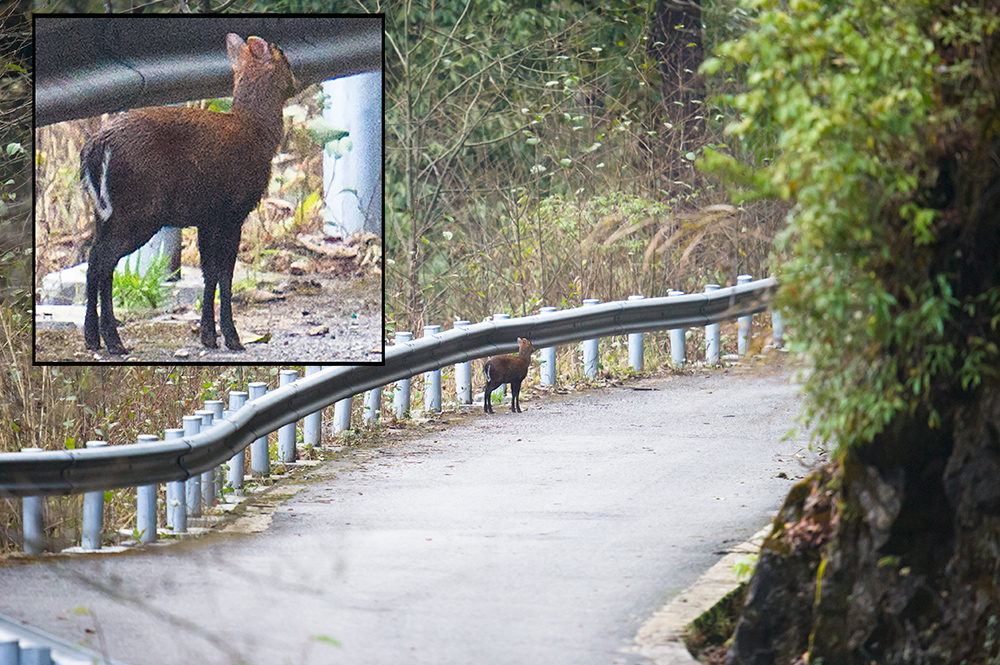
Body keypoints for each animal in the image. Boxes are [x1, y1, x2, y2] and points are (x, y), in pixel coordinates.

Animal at [79, 33, 294, 356]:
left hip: (104, 212)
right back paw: (111, 341)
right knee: (101, 263)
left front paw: (208, 336)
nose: (296, 82)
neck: (257, 132)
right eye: (285, 57)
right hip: (139, 209)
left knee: (97, 261)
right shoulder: (233, 210)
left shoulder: (207, 216)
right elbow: (225, 273)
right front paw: (232, 338)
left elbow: (209, 272)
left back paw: (96, 338)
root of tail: (97, 145)